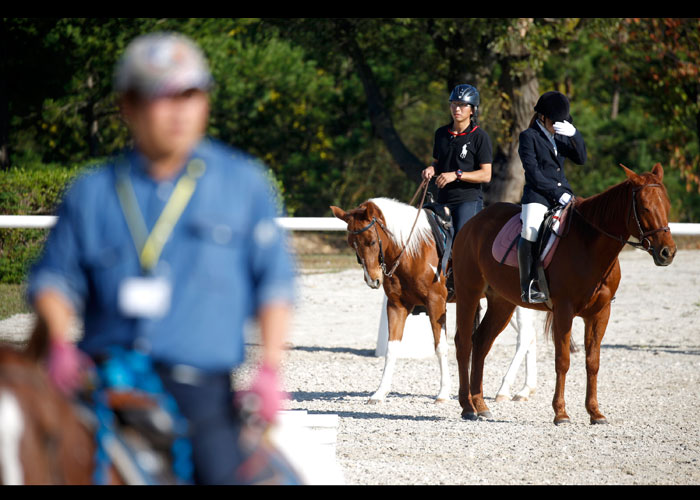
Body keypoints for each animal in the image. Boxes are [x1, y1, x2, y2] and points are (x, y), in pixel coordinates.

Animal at [452, 163, 676, 422]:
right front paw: (560, 413)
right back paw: (467, 407)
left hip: (502, 303)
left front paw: (595, 412)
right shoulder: (563, 311)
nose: (668, 252)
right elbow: (563, 360)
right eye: (645, 207)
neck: (589, 245)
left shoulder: (600, 313)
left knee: (481, 342)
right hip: (468, 294)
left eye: (667, 205)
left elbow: (593, 362)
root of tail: (473, 222)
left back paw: (480, 405)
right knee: (464, 343)